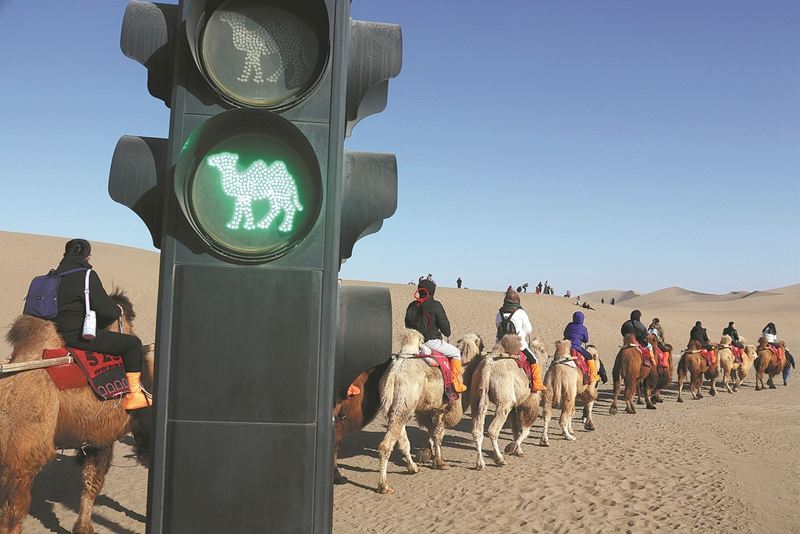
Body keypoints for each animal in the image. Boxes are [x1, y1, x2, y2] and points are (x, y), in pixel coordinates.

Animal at [0, 294, 152, 534]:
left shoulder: (96, 437)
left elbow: (90, 481)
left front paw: (82, 527)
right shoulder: (104, 435)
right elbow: (93, 481)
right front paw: (84, 527)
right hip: (22, 451)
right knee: (11, 512)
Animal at [376, 330, 476, 498]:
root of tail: (394, 374)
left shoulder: (430, 410)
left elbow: (432, 435)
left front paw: (431, 458)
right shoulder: (443, 408)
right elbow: (438, 436)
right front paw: (440, 463)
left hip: (399, 408)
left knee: (402, 440)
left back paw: (413, 468)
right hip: (405, 400)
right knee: (386, 445)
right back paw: (384, 486)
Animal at [472, 338, 548, 472]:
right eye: (544, 351)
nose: (549, 359)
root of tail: (487, 368)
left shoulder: (515, 405)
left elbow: (515, 429)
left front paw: (518, 450)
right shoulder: (529, 401)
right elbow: (525, 429)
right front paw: (512, 448)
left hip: (479, 396)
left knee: (477, 430)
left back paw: (480, 464)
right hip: (505, 402)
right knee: (492, 430)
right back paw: (499, 459)